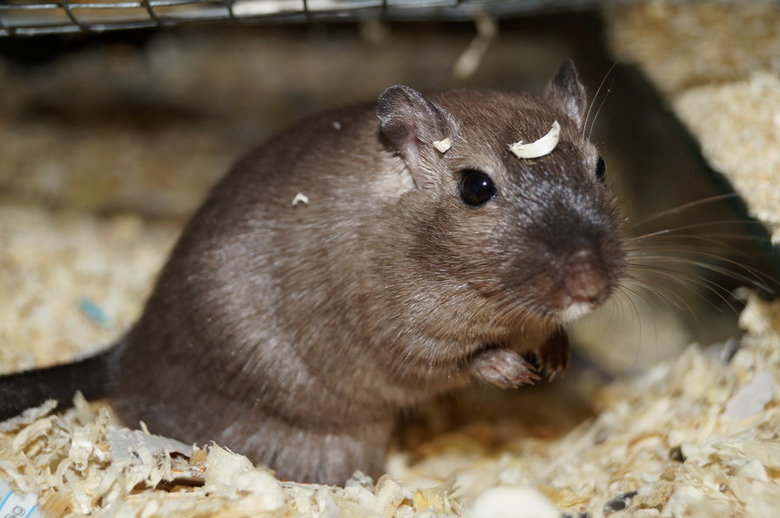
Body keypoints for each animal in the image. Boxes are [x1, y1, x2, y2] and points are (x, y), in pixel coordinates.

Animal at [0, 61, 625, 485]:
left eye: (600, 165)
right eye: (475, 187)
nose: (591, 287)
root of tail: (124, 361)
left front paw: (557, 358)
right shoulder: (403, 336)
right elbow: (459, 360)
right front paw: (516, 373)